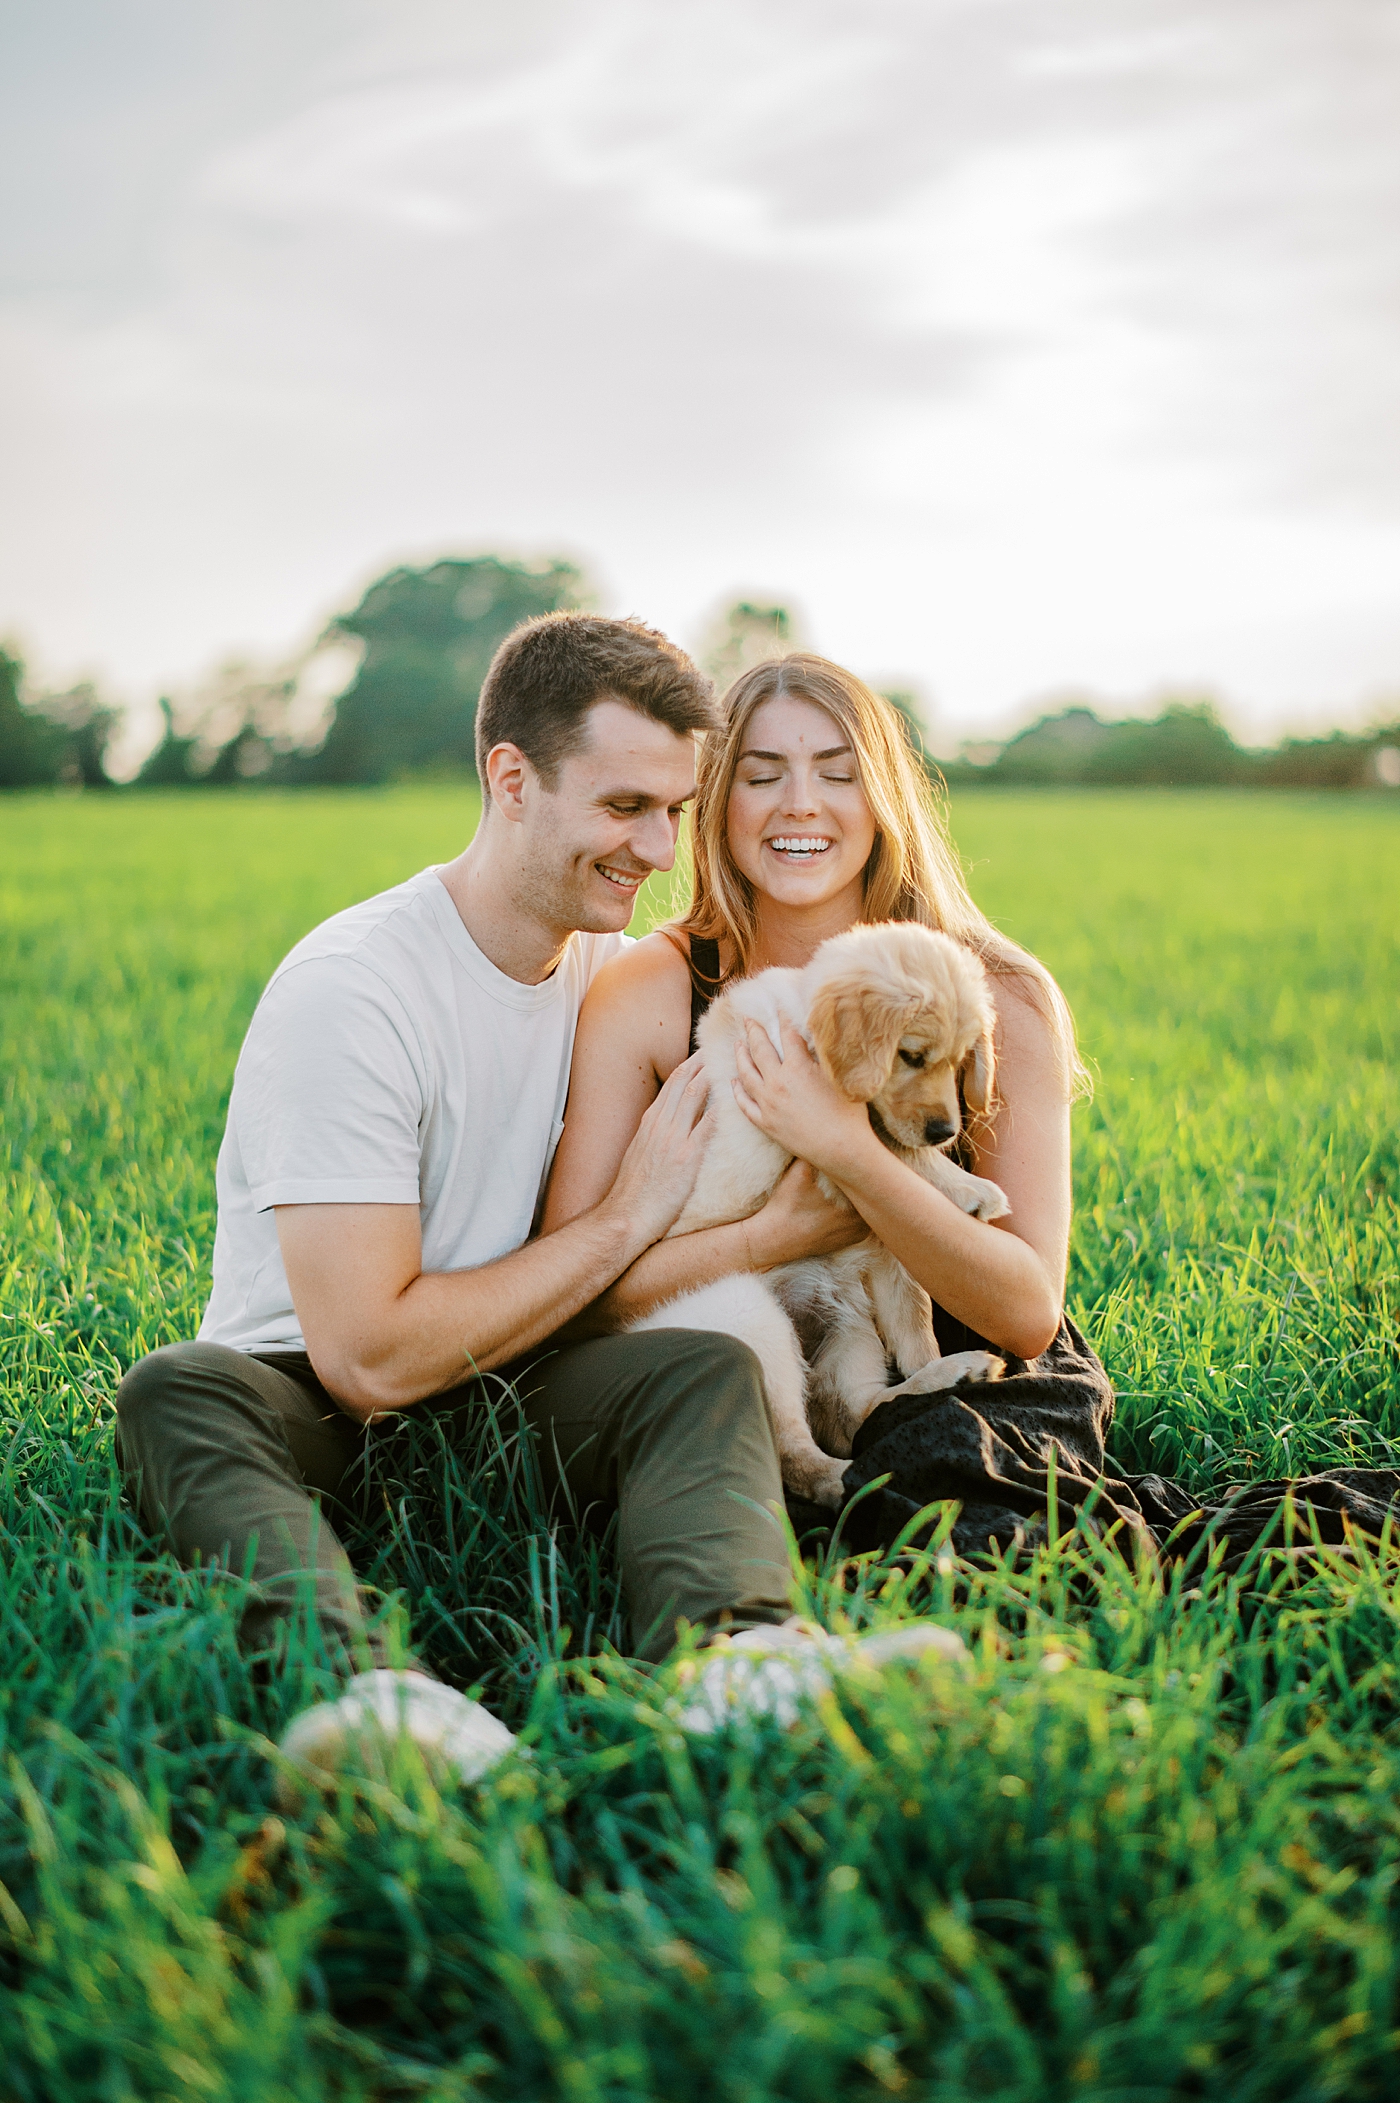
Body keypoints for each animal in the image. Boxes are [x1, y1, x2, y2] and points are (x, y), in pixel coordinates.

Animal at [630, 929, 1004, 1505]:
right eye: (911, 1056)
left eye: (961, 1059)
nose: (945, 1131)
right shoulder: (806, 1134)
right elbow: (890, 1147)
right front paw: (969, 1189)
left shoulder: (889, 1243)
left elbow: (915, 1321)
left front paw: (931, 1359)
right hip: (744, 1312)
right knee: (792, 1448)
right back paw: (843, 1482)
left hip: (851, 1331)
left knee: (855, 1412)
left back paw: (954, 1375)